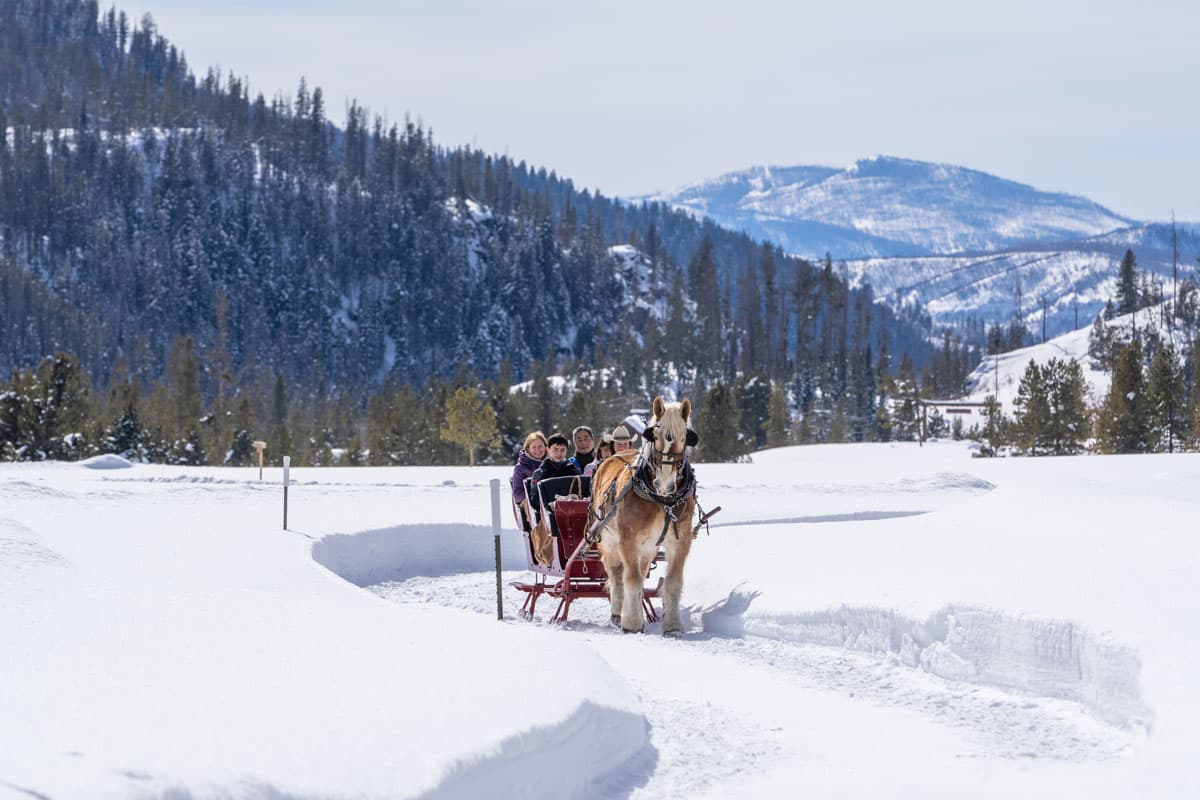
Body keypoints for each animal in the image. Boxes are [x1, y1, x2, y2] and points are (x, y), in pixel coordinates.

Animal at [589, 396, 699, 635]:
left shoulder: (681, 541)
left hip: (648, 547)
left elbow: (673, 582)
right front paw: (631, 623)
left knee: (640, 570)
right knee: (616, 575)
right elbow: (631, 579)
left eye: (684, 437)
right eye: (655, 436)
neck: (662, 500)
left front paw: (673, 625)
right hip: (608, 541)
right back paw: (618, 612)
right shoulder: (627, 540)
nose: (665, 483)